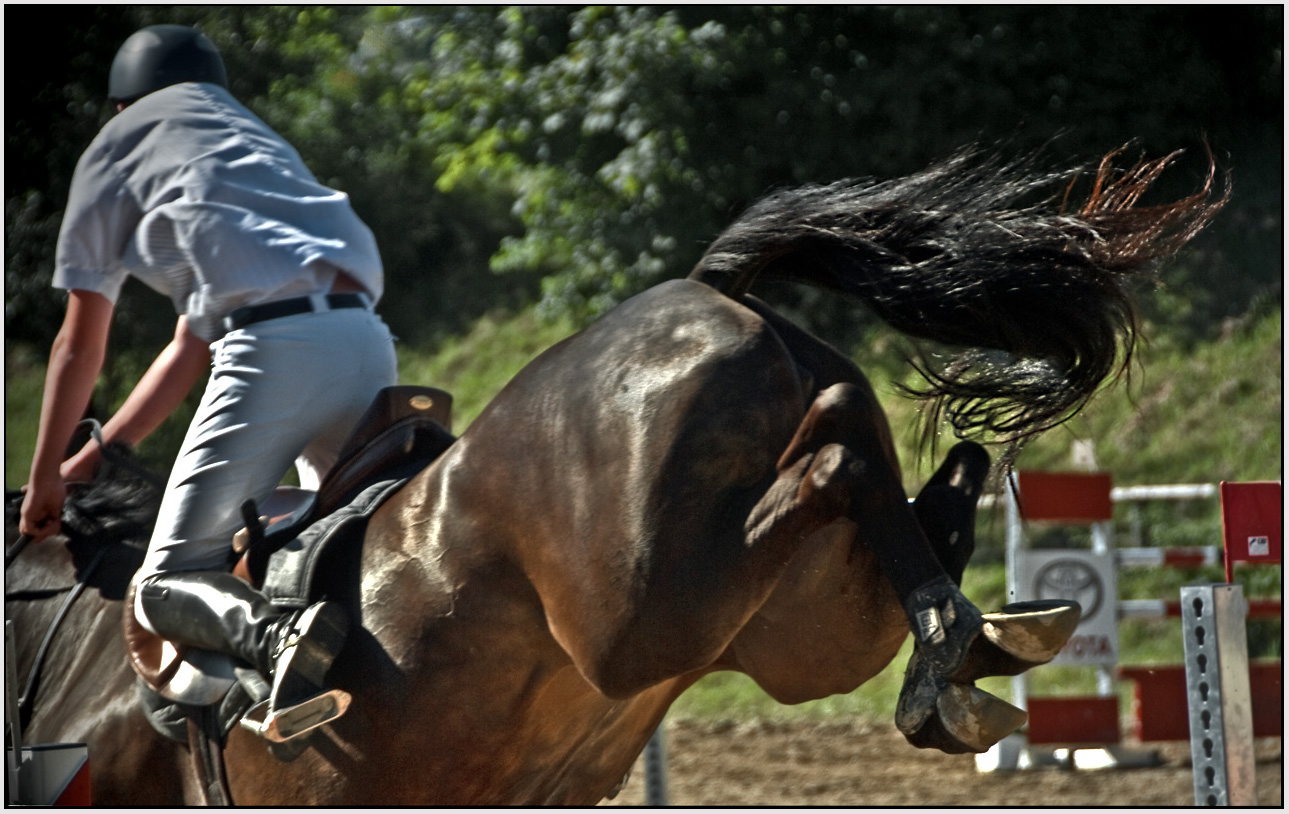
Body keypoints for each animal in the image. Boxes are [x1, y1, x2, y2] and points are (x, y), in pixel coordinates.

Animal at [5, 148, 1221, 810]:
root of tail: (710, 285)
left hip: (643, 615)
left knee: (830, 455)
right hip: (805, 634)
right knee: (881, 464)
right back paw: (960, 634)